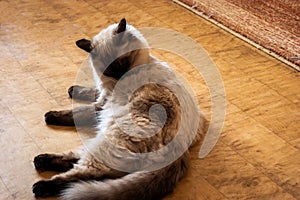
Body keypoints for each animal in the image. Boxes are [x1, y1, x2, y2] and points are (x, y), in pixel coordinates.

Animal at [32, 18, 206, 199]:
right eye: (109, 69)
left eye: (123, 63)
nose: (120, 77)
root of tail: (181, 150)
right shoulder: (103, 94)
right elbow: (91, 91)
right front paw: (73, 90)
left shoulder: (101, 105)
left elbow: (76, 112)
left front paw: (51, 115)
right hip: (102, 141)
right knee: (87, 163)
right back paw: (41, 160)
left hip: (109, 141)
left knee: (88, 173)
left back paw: (43, 185)